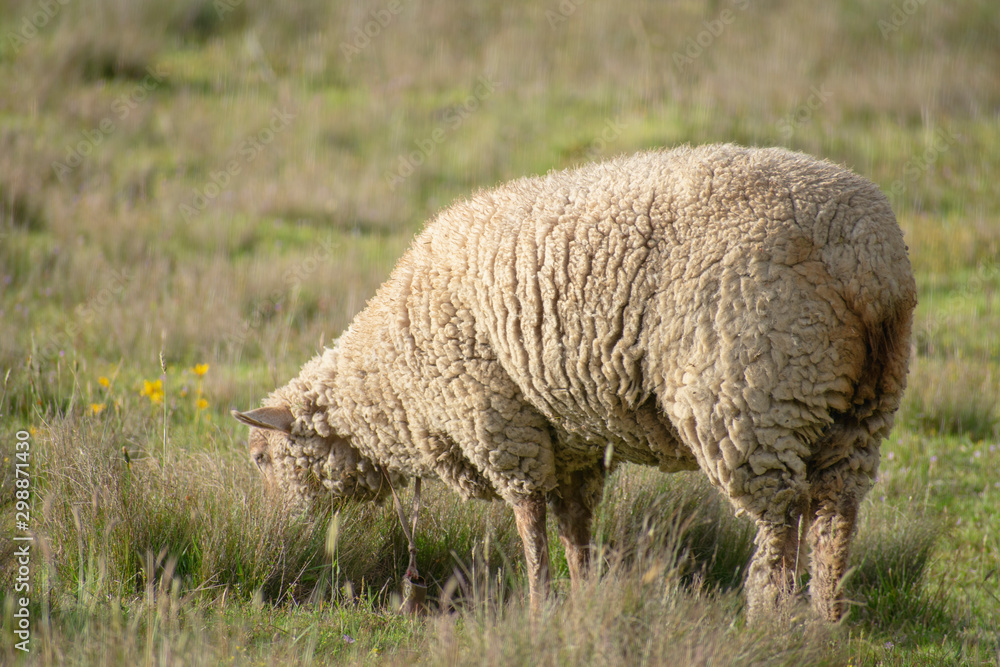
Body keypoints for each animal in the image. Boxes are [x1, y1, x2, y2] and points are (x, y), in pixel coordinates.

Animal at [233, 143, 916, 622]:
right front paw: (584, 599)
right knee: (834, 516)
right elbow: (575, 531)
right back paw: (824, 619)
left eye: (262, 460)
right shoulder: (574, 443)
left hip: (748, 392)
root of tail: (867, 258)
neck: (392, 386)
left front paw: (539, 608)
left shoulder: (499, 422)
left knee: (780, 518)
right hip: (859, 410)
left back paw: (766, 614)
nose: (275, 539)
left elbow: (530, 526)